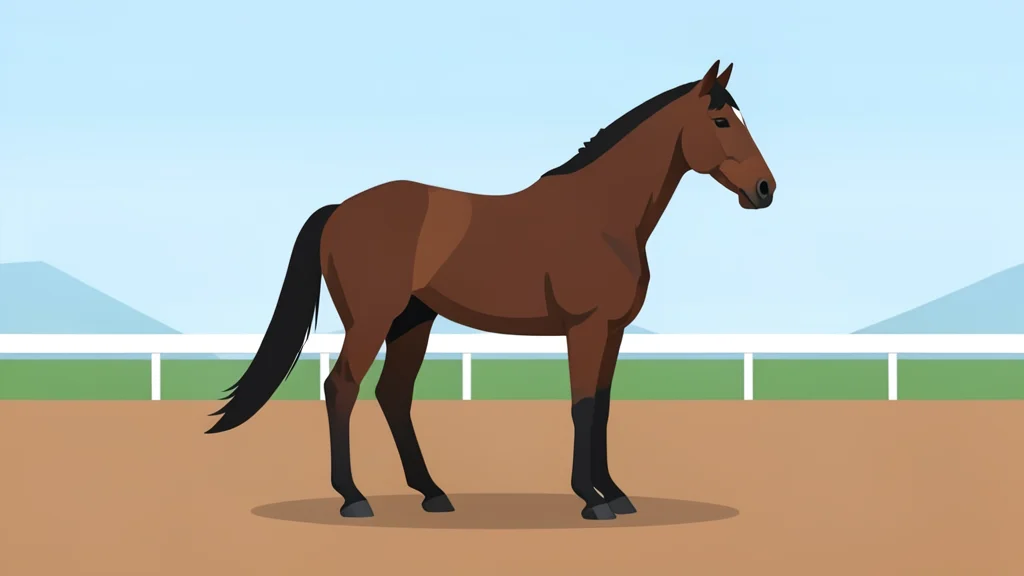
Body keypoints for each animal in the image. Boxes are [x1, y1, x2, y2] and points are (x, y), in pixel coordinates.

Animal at [205, 60, 776, 521]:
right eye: (721, 121)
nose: (765, 189)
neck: (602, 215)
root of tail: (340, 209)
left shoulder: (612, 331)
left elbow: (605, 407)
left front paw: (615, 493)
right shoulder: (585, 328)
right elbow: (582, 406)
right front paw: (591, 501)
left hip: (413, 321)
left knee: (393, 394)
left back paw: (432, 493)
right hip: (371, 321)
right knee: (341, 388)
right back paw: (354, 498)